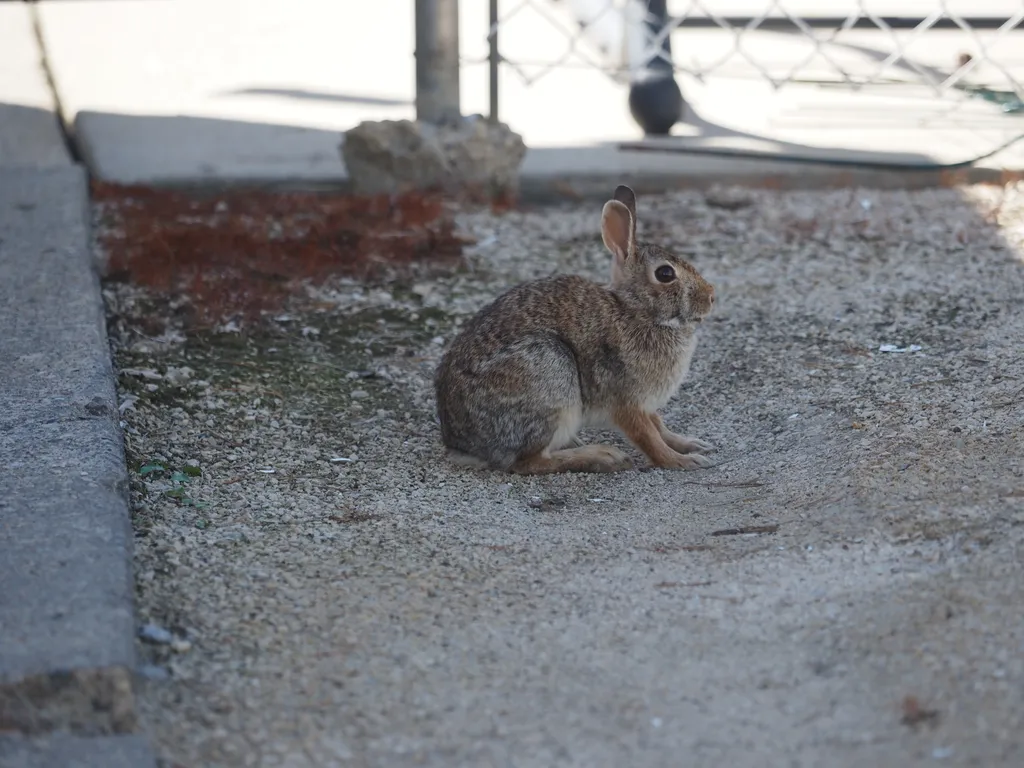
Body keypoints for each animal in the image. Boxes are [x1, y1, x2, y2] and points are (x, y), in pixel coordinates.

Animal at [436, 186, 716, 475]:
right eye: (665, 274)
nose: (711, 297)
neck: (634, 310)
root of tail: (464, 445)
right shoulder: (625, 400)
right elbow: (648, 437)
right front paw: (683, 461)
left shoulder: (646, 403)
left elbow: (660, 427)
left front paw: (692, 445)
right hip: (551, 373)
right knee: (530, 462)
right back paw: (602, 456)